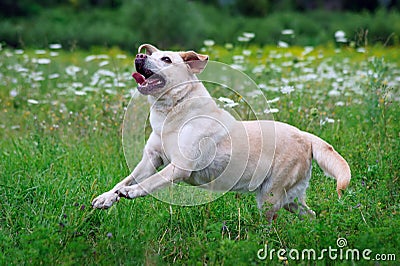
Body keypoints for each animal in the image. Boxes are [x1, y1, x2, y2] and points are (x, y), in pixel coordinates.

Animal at [91, 43, 350, 221]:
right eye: (148, 55)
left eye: (166, 59)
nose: (139, 56)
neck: (172, 111)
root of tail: (306, 136)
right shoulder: (151, 159)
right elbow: (126, 178)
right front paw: (107, 197)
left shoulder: (180, 166)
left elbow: (151, 182)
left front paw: (131, 191)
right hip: (289, 197)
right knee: (310, 214)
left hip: (270, 196)